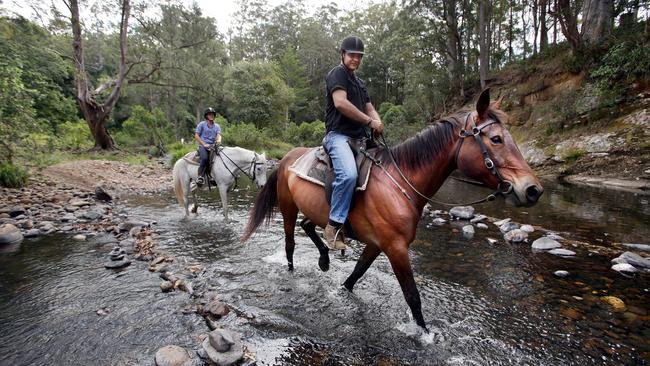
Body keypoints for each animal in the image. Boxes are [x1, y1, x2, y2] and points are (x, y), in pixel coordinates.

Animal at [240, 89, 540, 332]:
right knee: (290, 244)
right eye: (496, 139)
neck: (400, 182)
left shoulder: (377, 243)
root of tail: (288, 158)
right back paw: (294, 271)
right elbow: (412, 296)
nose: (533, 190)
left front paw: (342, 291)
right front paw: (426, 335)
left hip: (315, 212)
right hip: (288, 208)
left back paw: (325, 259)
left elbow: (356, 275)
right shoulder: (396, 247)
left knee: (310, 227)